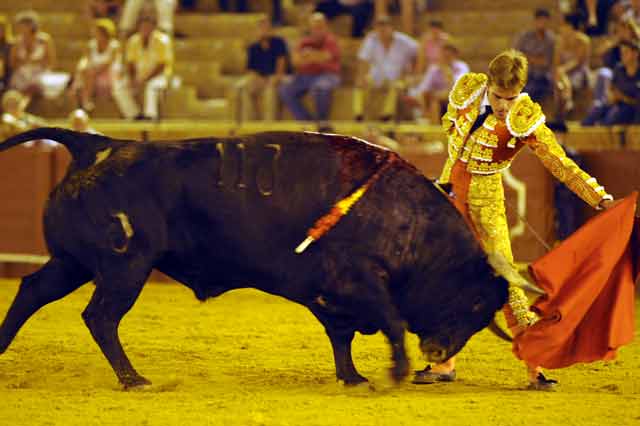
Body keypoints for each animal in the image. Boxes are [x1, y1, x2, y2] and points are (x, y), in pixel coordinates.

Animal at [0, 127, 510, 390]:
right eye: (473, 304)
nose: (439, 352)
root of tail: (99, 145)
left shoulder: (331, 295)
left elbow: (342, 335)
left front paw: (352, 377)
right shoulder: (357, 279)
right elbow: (389, 318)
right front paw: (397, 370)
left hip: (73, 262)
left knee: (33, 291)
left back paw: (3, 349)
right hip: (125, 266)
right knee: (101, 316)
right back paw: (133, 378)